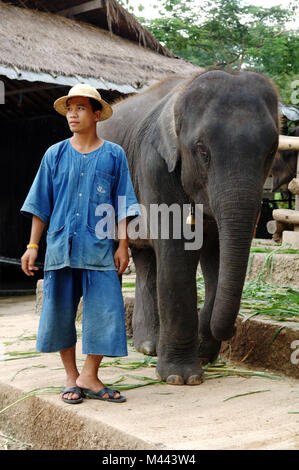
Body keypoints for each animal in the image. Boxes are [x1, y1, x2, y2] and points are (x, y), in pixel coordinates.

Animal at [99, 70, 280, 386]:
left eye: (271, 151)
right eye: (202, 152)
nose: (235, 330)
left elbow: (217, 257)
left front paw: (205, 353)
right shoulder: (155, 165)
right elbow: (177, 252)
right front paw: (181, 378)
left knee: (147, 262)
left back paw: (148, 347)